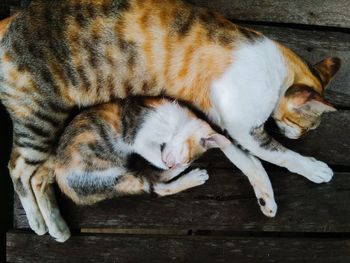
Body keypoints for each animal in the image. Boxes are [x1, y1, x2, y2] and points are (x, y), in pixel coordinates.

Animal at [31, 97, 274, 243]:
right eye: (186, 155)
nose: (177, 164)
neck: (175, 125)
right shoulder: (141, 139)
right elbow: (154, 158)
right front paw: (175, 165)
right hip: (113, 179)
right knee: (157, 187)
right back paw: (193, 177)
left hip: (116, 179)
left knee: (155, 182)